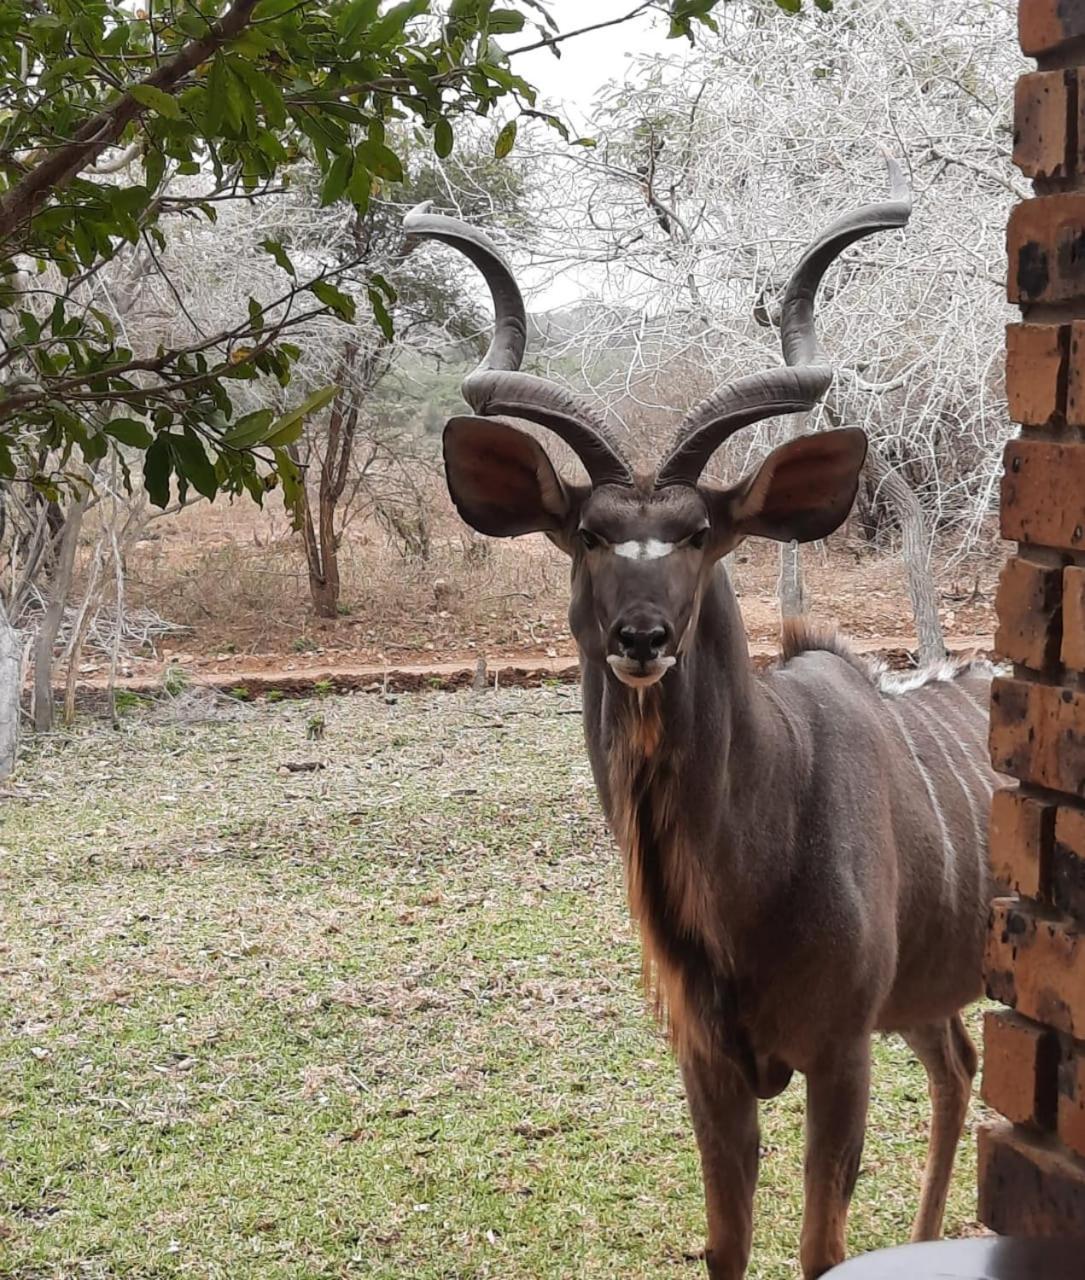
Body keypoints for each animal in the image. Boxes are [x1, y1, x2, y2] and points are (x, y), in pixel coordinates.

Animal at [404, 165, 997, 1274]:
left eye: (698, 536)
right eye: (589, 534)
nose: (640, 635)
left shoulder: (837, 1052)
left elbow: (817, 1246)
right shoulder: (708, 1066)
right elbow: (725, 1244)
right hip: (926, 999)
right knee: (956, 1061)